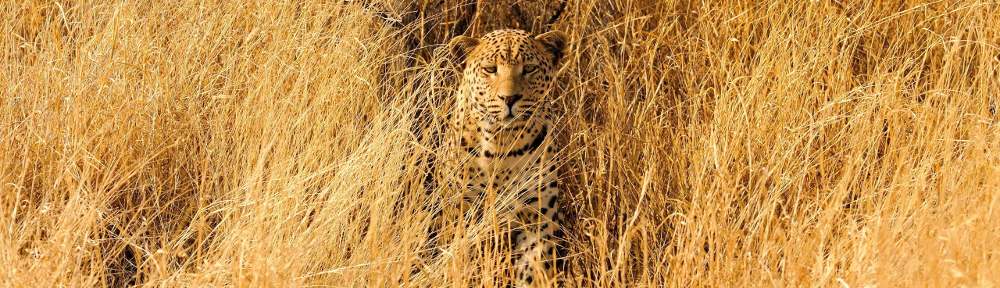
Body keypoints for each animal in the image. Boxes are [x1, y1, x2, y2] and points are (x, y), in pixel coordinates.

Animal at [432, 28, 572, 286]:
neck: (502, 145)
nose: (509, 98)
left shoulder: (538, 218)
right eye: (490, 69)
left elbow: (533, 269)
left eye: (529, 68)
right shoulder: (462, 212)